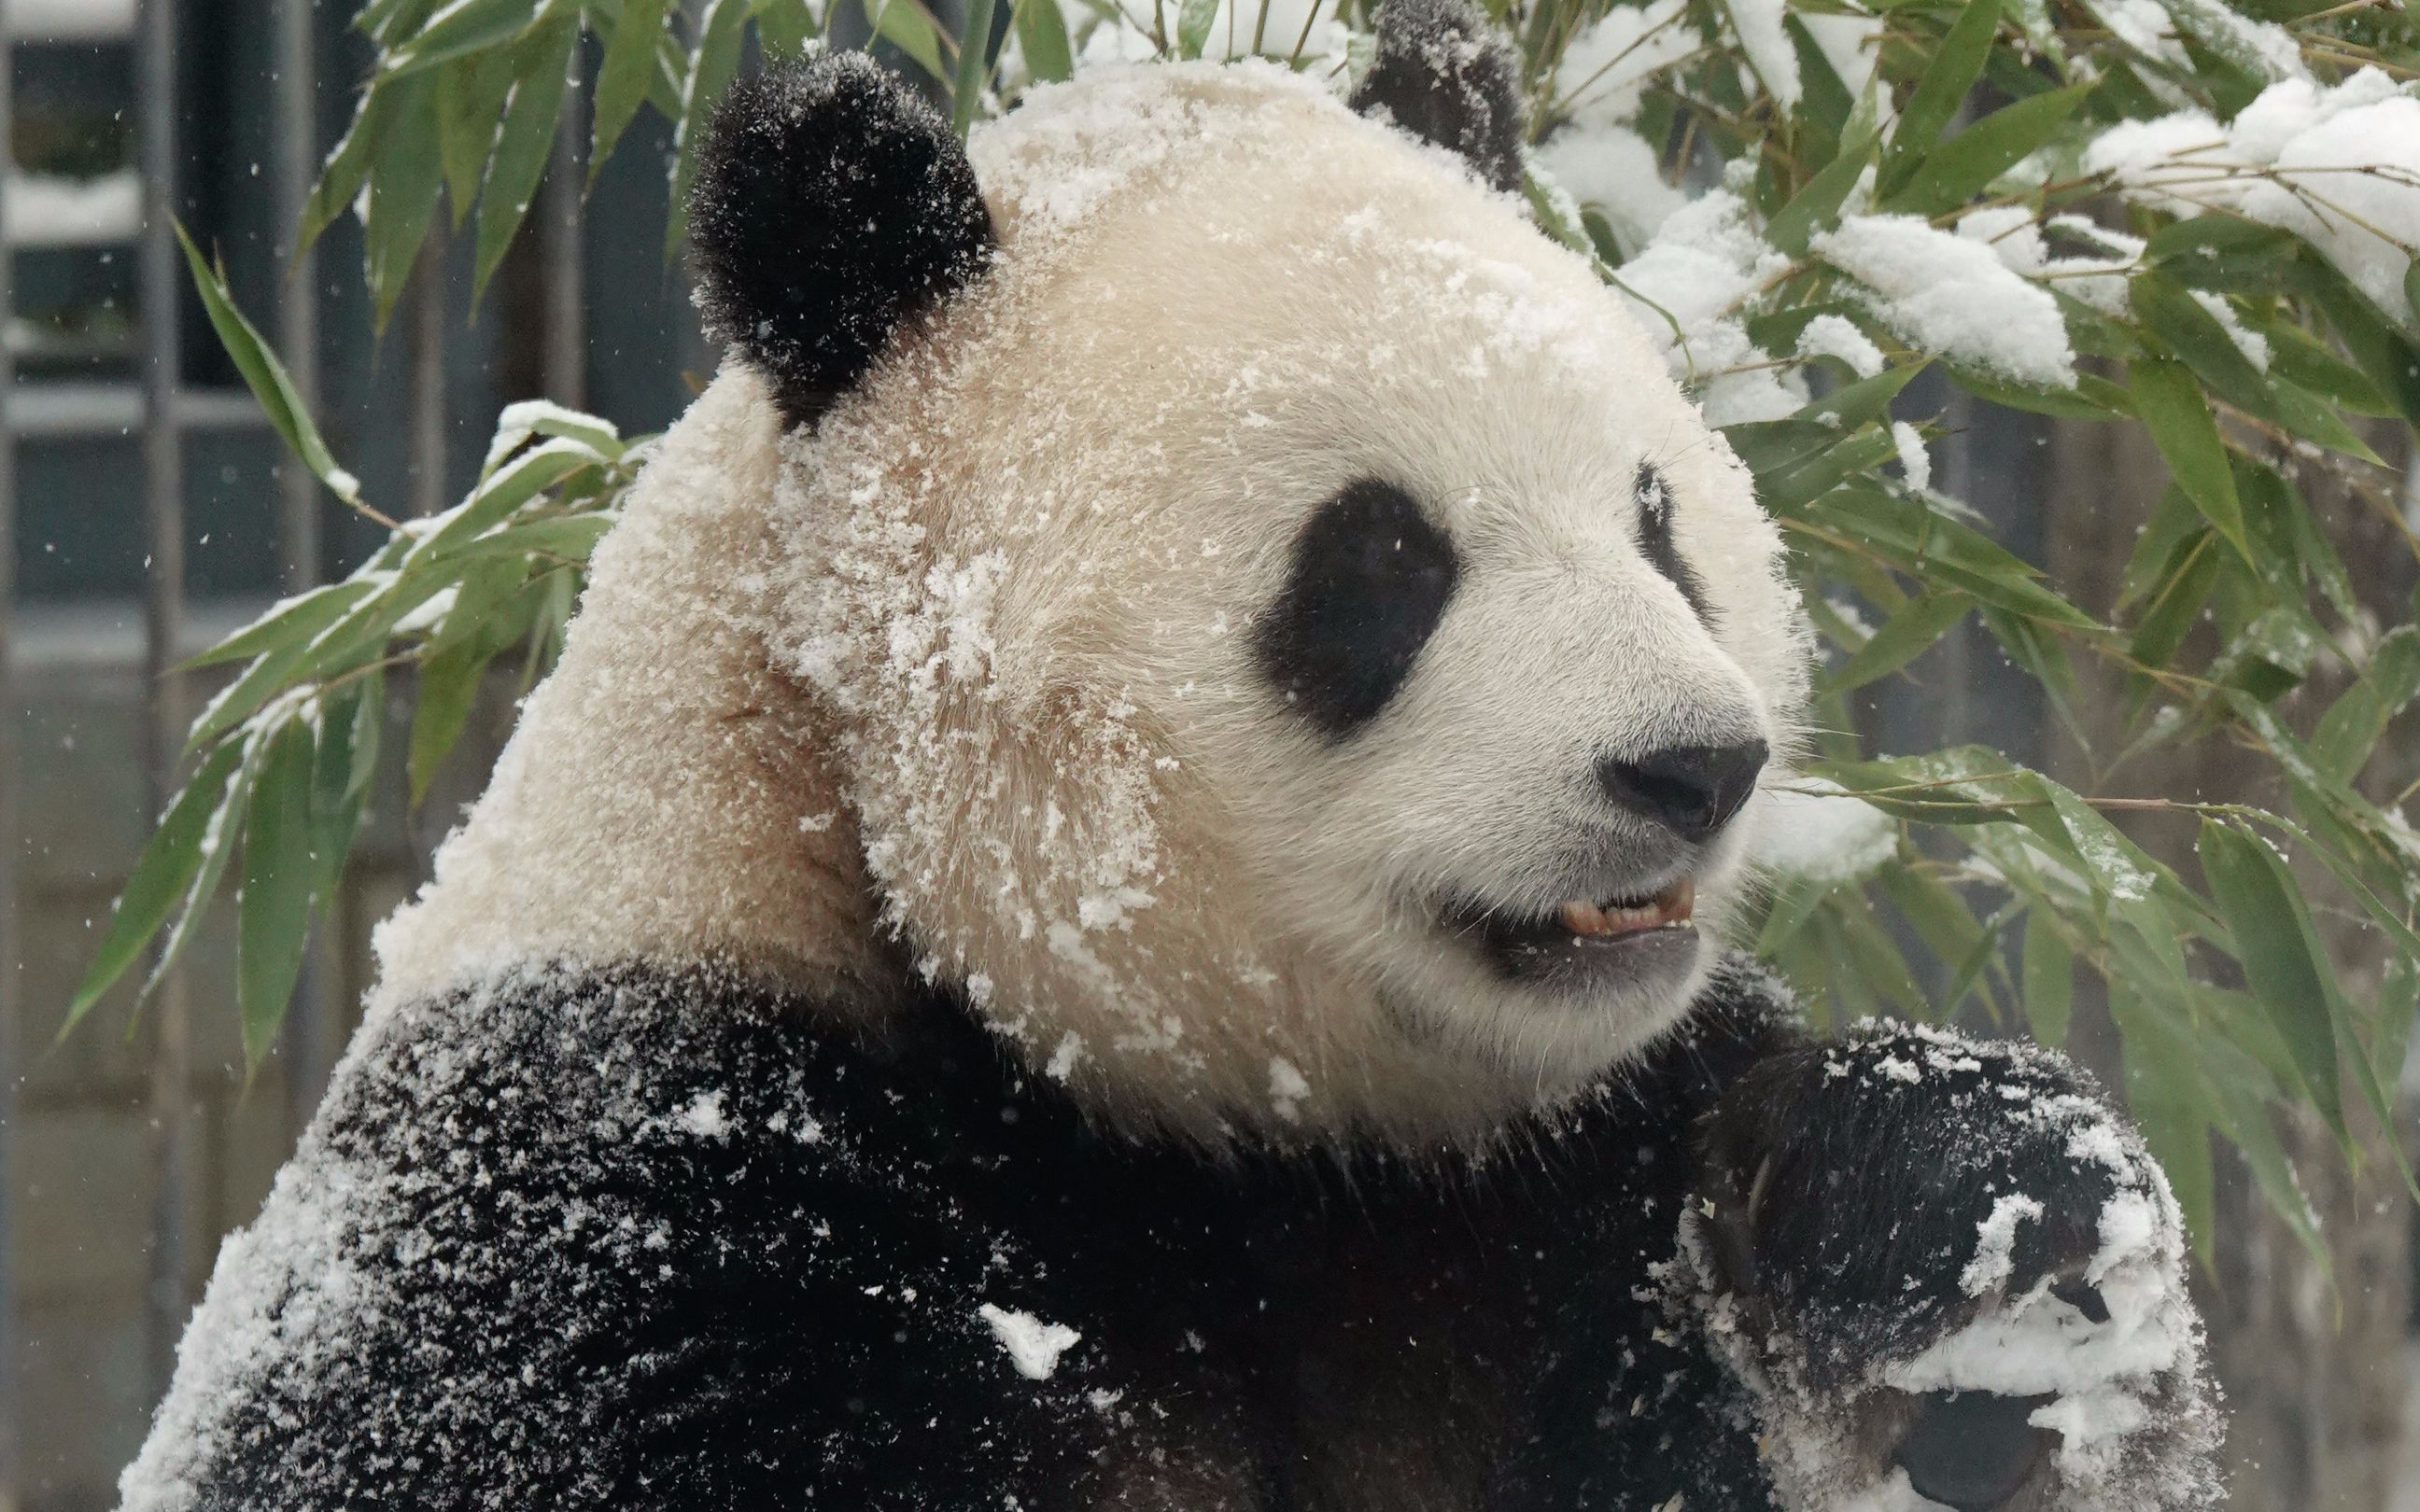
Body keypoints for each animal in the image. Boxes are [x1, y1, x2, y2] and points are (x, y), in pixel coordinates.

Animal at [122, 3, 2216, 1509]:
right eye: (1379, 563)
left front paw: (1965, 1238)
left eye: (1656, 519)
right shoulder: (636, 1205)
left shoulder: (1548, 1191)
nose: (1694, 767)